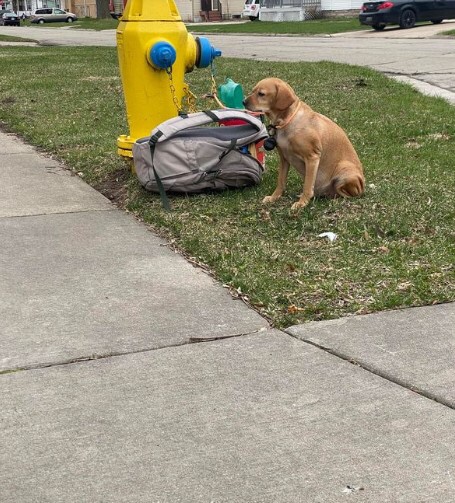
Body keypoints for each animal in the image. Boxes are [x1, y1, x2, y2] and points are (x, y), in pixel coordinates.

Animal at [244, 78, 366, 211]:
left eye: (261, 94)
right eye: (253, 90)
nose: (243, 102)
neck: (287, 121)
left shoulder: (312, 157)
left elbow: (307, 186)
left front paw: (302, 203)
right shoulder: (284, 159)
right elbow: (281, 182)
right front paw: (274, 197)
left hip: (344, 169)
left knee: (348, 194)